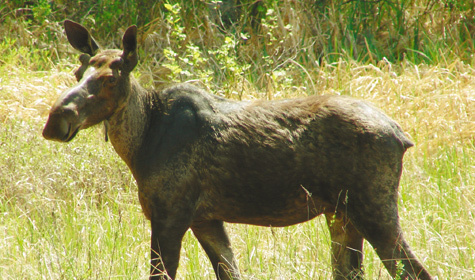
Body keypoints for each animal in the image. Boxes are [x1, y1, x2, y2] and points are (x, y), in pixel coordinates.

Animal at [42, 21, 434, 280]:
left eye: (110, 78)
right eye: (77, 71)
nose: (55, 120)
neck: (139, 143)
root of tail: (402, 137)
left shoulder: (170, 214)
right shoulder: (205, 219)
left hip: (373, 209)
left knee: (415, 271)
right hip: (341, 214)